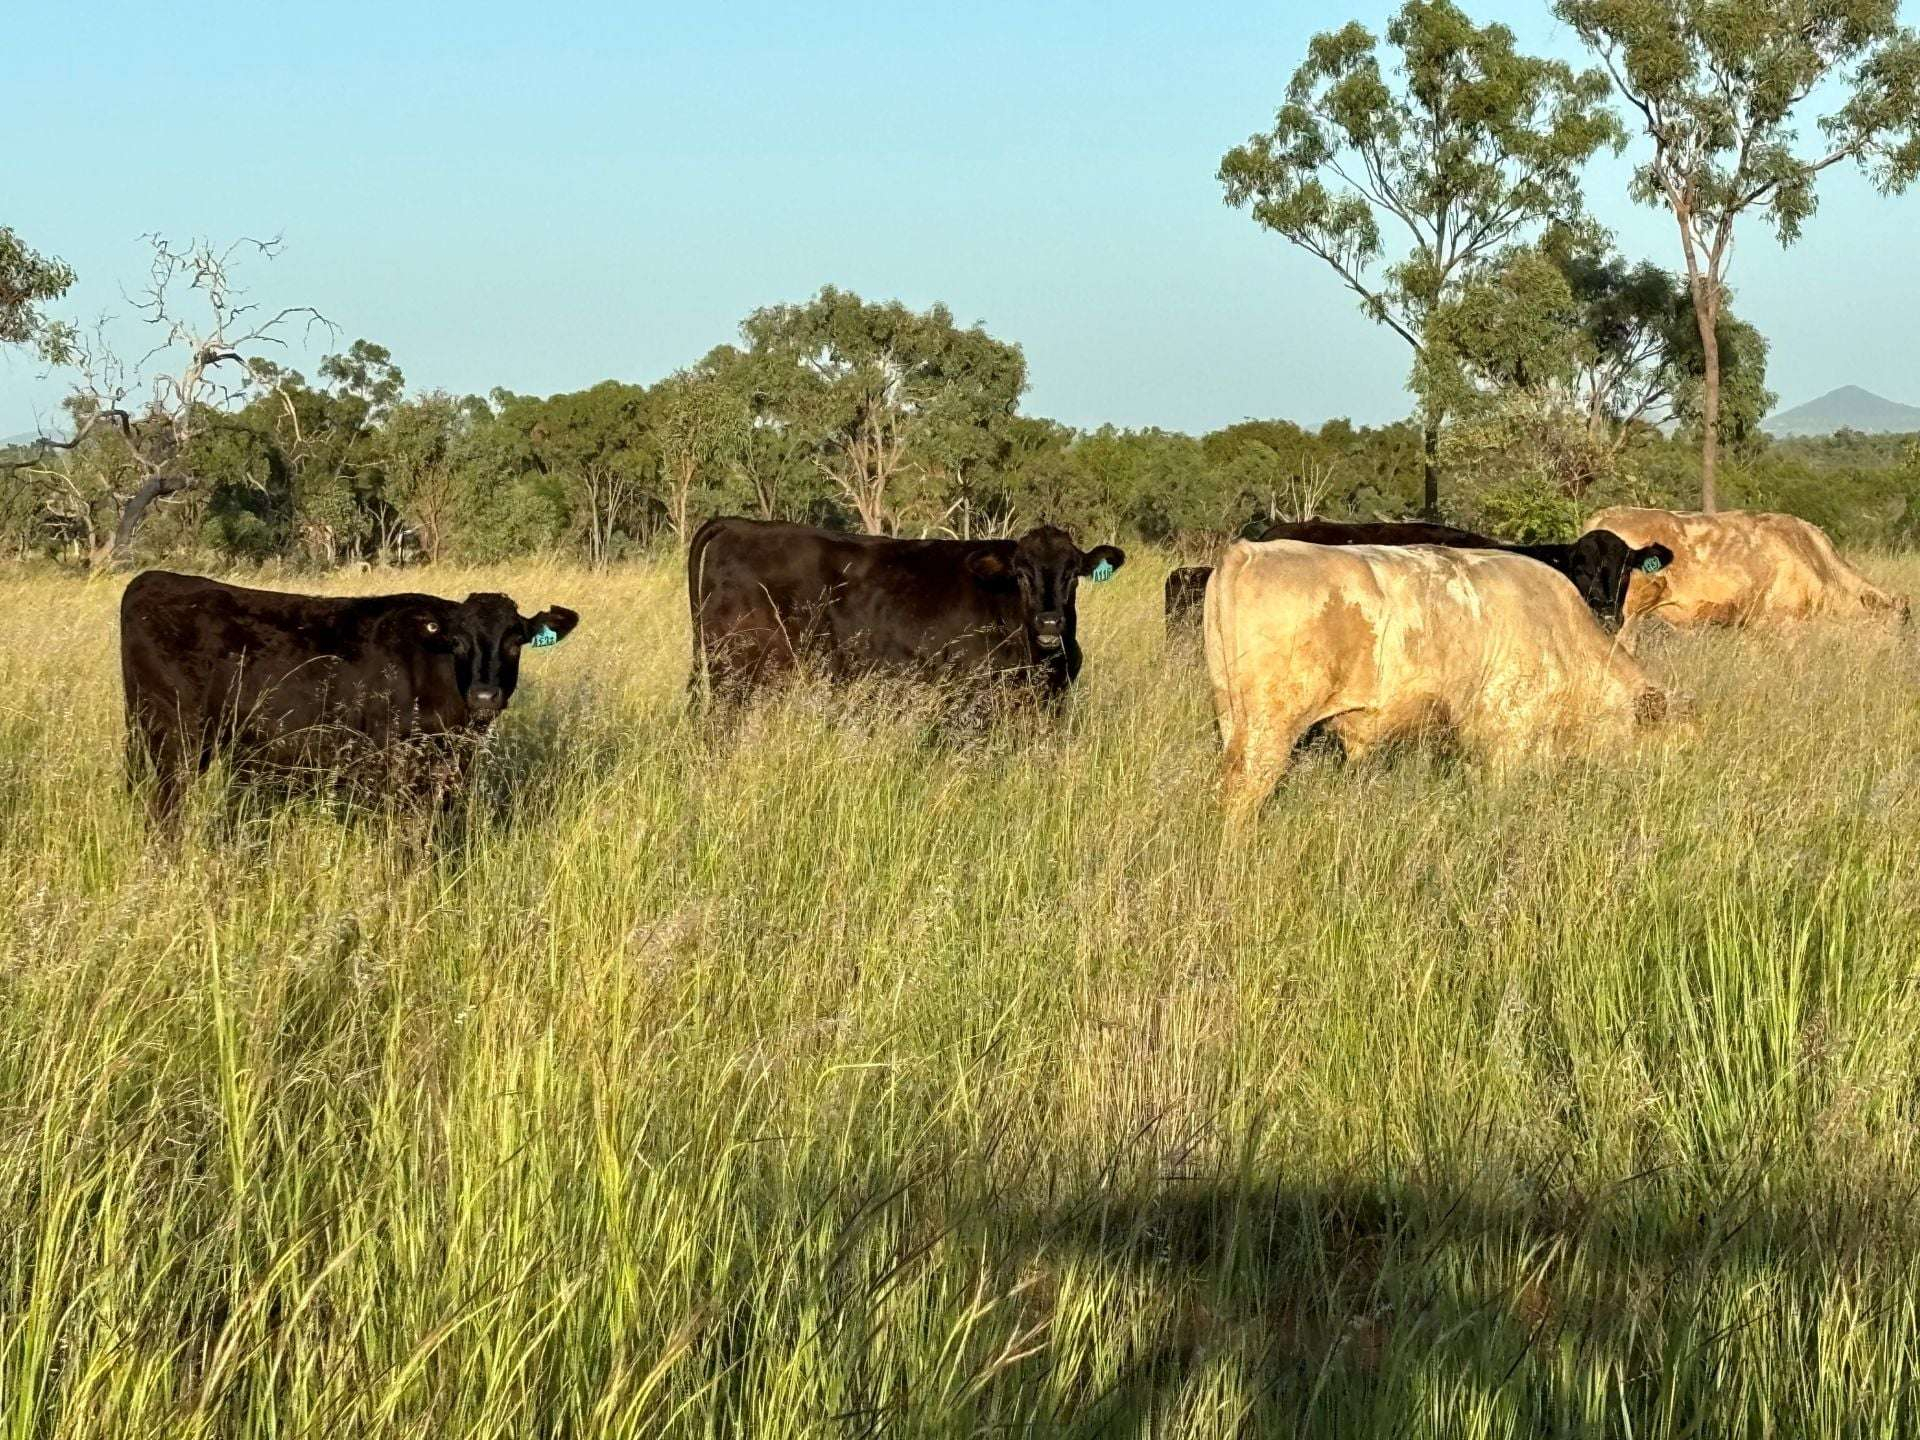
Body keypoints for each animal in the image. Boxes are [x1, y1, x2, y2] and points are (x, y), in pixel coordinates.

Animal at [120, 571, 580, 824]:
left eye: (515, 642)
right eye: (457, 642)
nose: (485, 694)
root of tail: (152, 579)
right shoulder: (397, 768)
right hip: (176, 741)